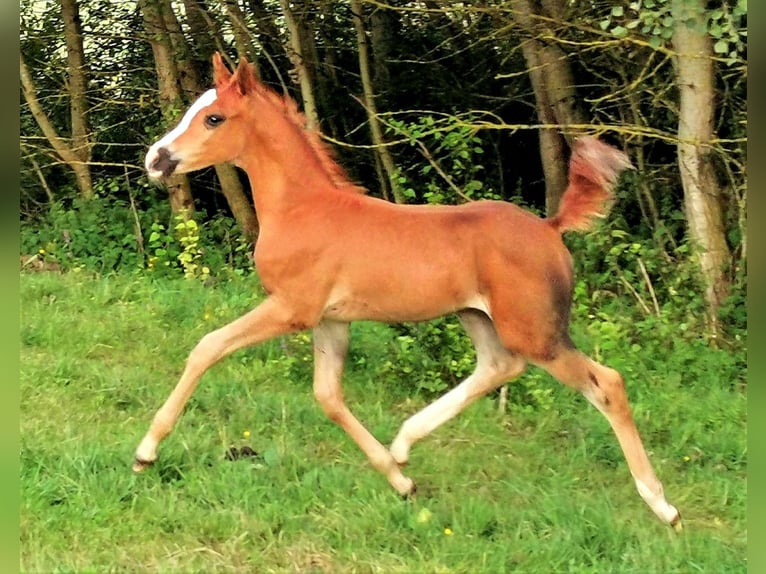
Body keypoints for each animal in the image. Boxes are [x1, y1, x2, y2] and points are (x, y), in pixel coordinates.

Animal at [138, 53, 684, 532]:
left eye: (213, 118)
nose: (155, 159)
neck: (303, 208)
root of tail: (551, 228)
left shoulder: (293, 309)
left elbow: (207, 347)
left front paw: (146, 452)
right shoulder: (332, 320)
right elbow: (328, 396)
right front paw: (400, 481)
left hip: (536, 331)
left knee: (606, 383)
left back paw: (663, 506)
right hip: (479, 317)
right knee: (498, 367)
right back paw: (403, 444)